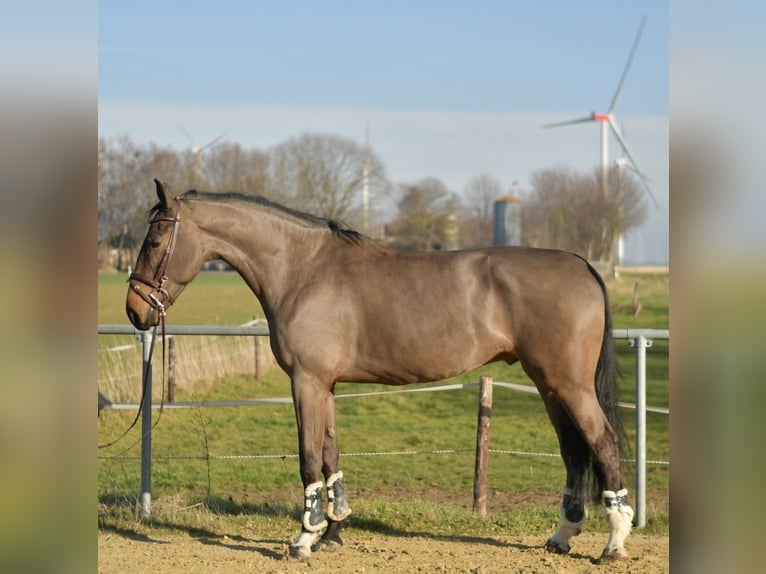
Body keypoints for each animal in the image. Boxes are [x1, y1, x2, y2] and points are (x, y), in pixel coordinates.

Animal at [126, 179, 634, 562]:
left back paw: (613, 544)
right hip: (549, 386)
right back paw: (562, 537)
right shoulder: (325, 386)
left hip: (570, 386)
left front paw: (303, 539)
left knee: (602, 443)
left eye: (154, 240)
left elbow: (308, 457)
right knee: (573, 452)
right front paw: (333, 533)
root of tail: (583, 265)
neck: (304, 269)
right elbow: (330, 455)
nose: (134, 310)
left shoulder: (306, 382)